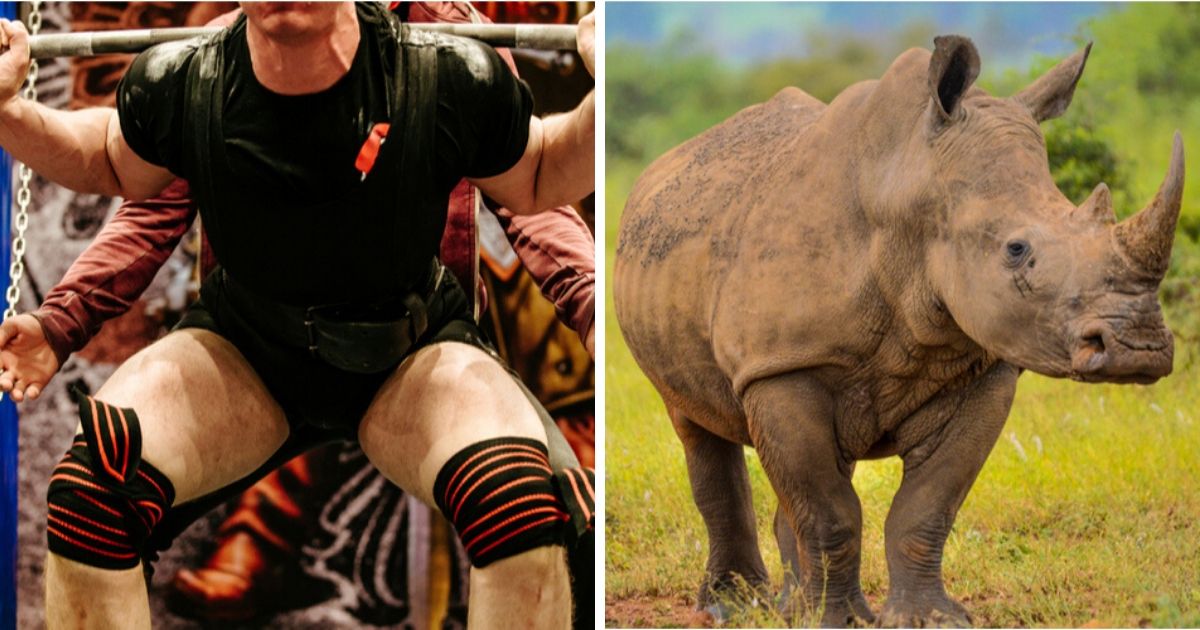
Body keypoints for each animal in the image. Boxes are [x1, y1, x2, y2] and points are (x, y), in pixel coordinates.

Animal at [613, 35, 1184, 627]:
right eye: (1016, 250)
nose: (1138, 349)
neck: (911, 188)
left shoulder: (986, 371)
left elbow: (926, 507)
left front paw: (929, 618)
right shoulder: (780, 364)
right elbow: (829, 511)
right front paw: (838, 620)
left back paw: (790, 606)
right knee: (696, 424)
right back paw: (732, 606)